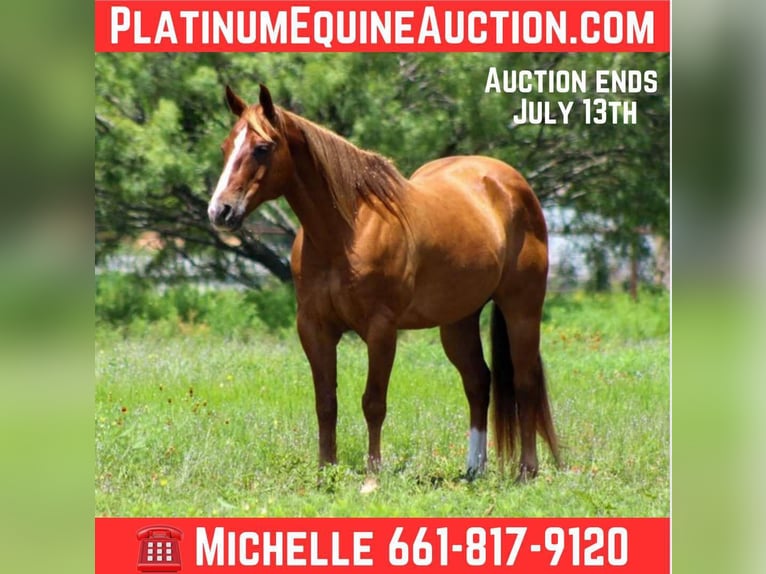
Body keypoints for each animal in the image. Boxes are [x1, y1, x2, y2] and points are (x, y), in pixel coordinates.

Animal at [207, 84, 560, 483]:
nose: (220, 211)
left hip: (522, 309)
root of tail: (509, 183)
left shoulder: (381, 329)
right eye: (225, 146)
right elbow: (325, 402)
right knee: (478, 382)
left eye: (262, 147)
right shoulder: (314, 328)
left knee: (524, 381)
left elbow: (373, 402)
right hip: (457, 321)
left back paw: (526, 471)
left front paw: (372, 476)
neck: (346, 233)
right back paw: (473, 470)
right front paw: (325, 473)